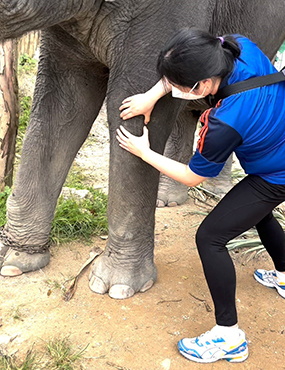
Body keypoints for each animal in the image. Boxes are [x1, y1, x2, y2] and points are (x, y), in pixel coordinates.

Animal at [0, 0, 282, 300]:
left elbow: (132, 101)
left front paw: (117, 287)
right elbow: (62, 103)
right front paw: (13, 260)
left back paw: (216, 192)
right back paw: (167, 200)